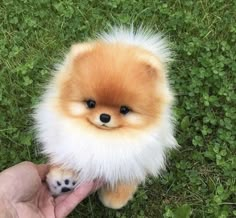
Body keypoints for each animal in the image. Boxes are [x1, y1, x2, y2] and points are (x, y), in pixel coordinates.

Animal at [34, 26, 176, 209]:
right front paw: (62, 180)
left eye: (124, 109)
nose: (104, 116)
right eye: (91, 103)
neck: (102, 137)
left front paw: (114, 198)